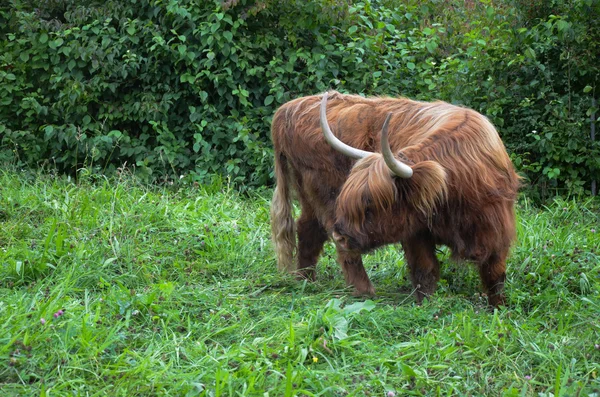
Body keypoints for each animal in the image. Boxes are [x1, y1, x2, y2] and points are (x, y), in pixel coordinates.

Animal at [270, 90, 516, 306]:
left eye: (370, 205)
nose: (341, 236)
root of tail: (287, 109)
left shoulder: (496, 229)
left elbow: (495, 274)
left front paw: (499, 307)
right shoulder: (415, 231)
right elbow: (425, 270)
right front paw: (427, 307)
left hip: (310, 195)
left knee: (309, 229)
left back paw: (305, 281)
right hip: (323, 193)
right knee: (333, 241)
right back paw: (365, 291)